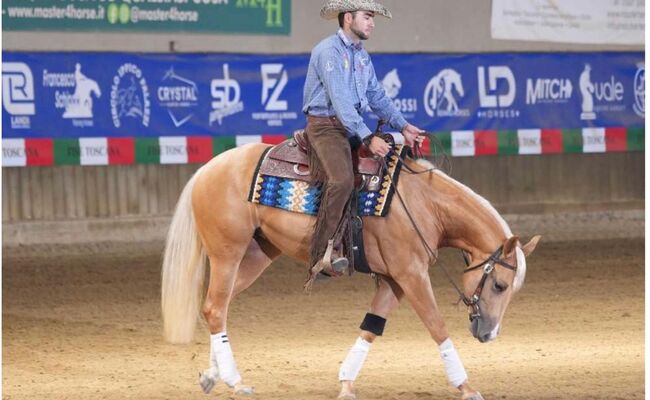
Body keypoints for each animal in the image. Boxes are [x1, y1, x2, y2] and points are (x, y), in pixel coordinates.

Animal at [161, 142, 536, 398]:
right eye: (500, 285)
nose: (489, 334)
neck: (423, 205)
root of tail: (207, 169)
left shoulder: (393, 280)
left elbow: (371, 327)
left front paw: (345, 383)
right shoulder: (411, 274)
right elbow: (437, 326)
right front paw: (466, 387)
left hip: (256, 255)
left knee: (217, 307)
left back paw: (214, 376)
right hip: (228, 253)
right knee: (215, 307)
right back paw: (236, 381)